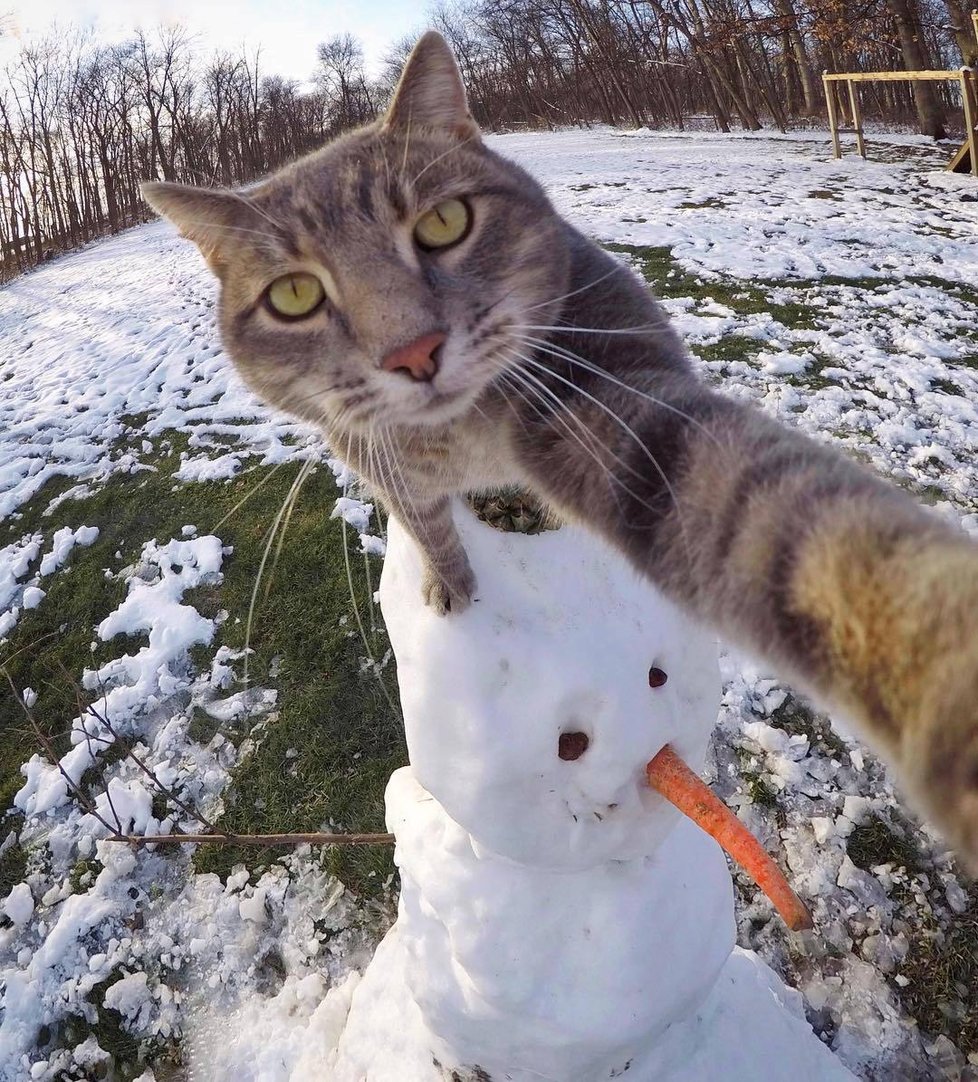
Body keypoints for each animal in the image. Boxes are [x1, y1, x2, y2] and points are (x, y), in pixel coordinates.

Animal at [141, 33, 978, 869]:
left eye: (444, 222)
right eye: (293, 296)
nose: (413, 351)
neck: (459, 444)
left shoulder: (601, 398)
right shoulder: (374, 458)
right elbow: (429, 526)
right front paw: (451, 584)